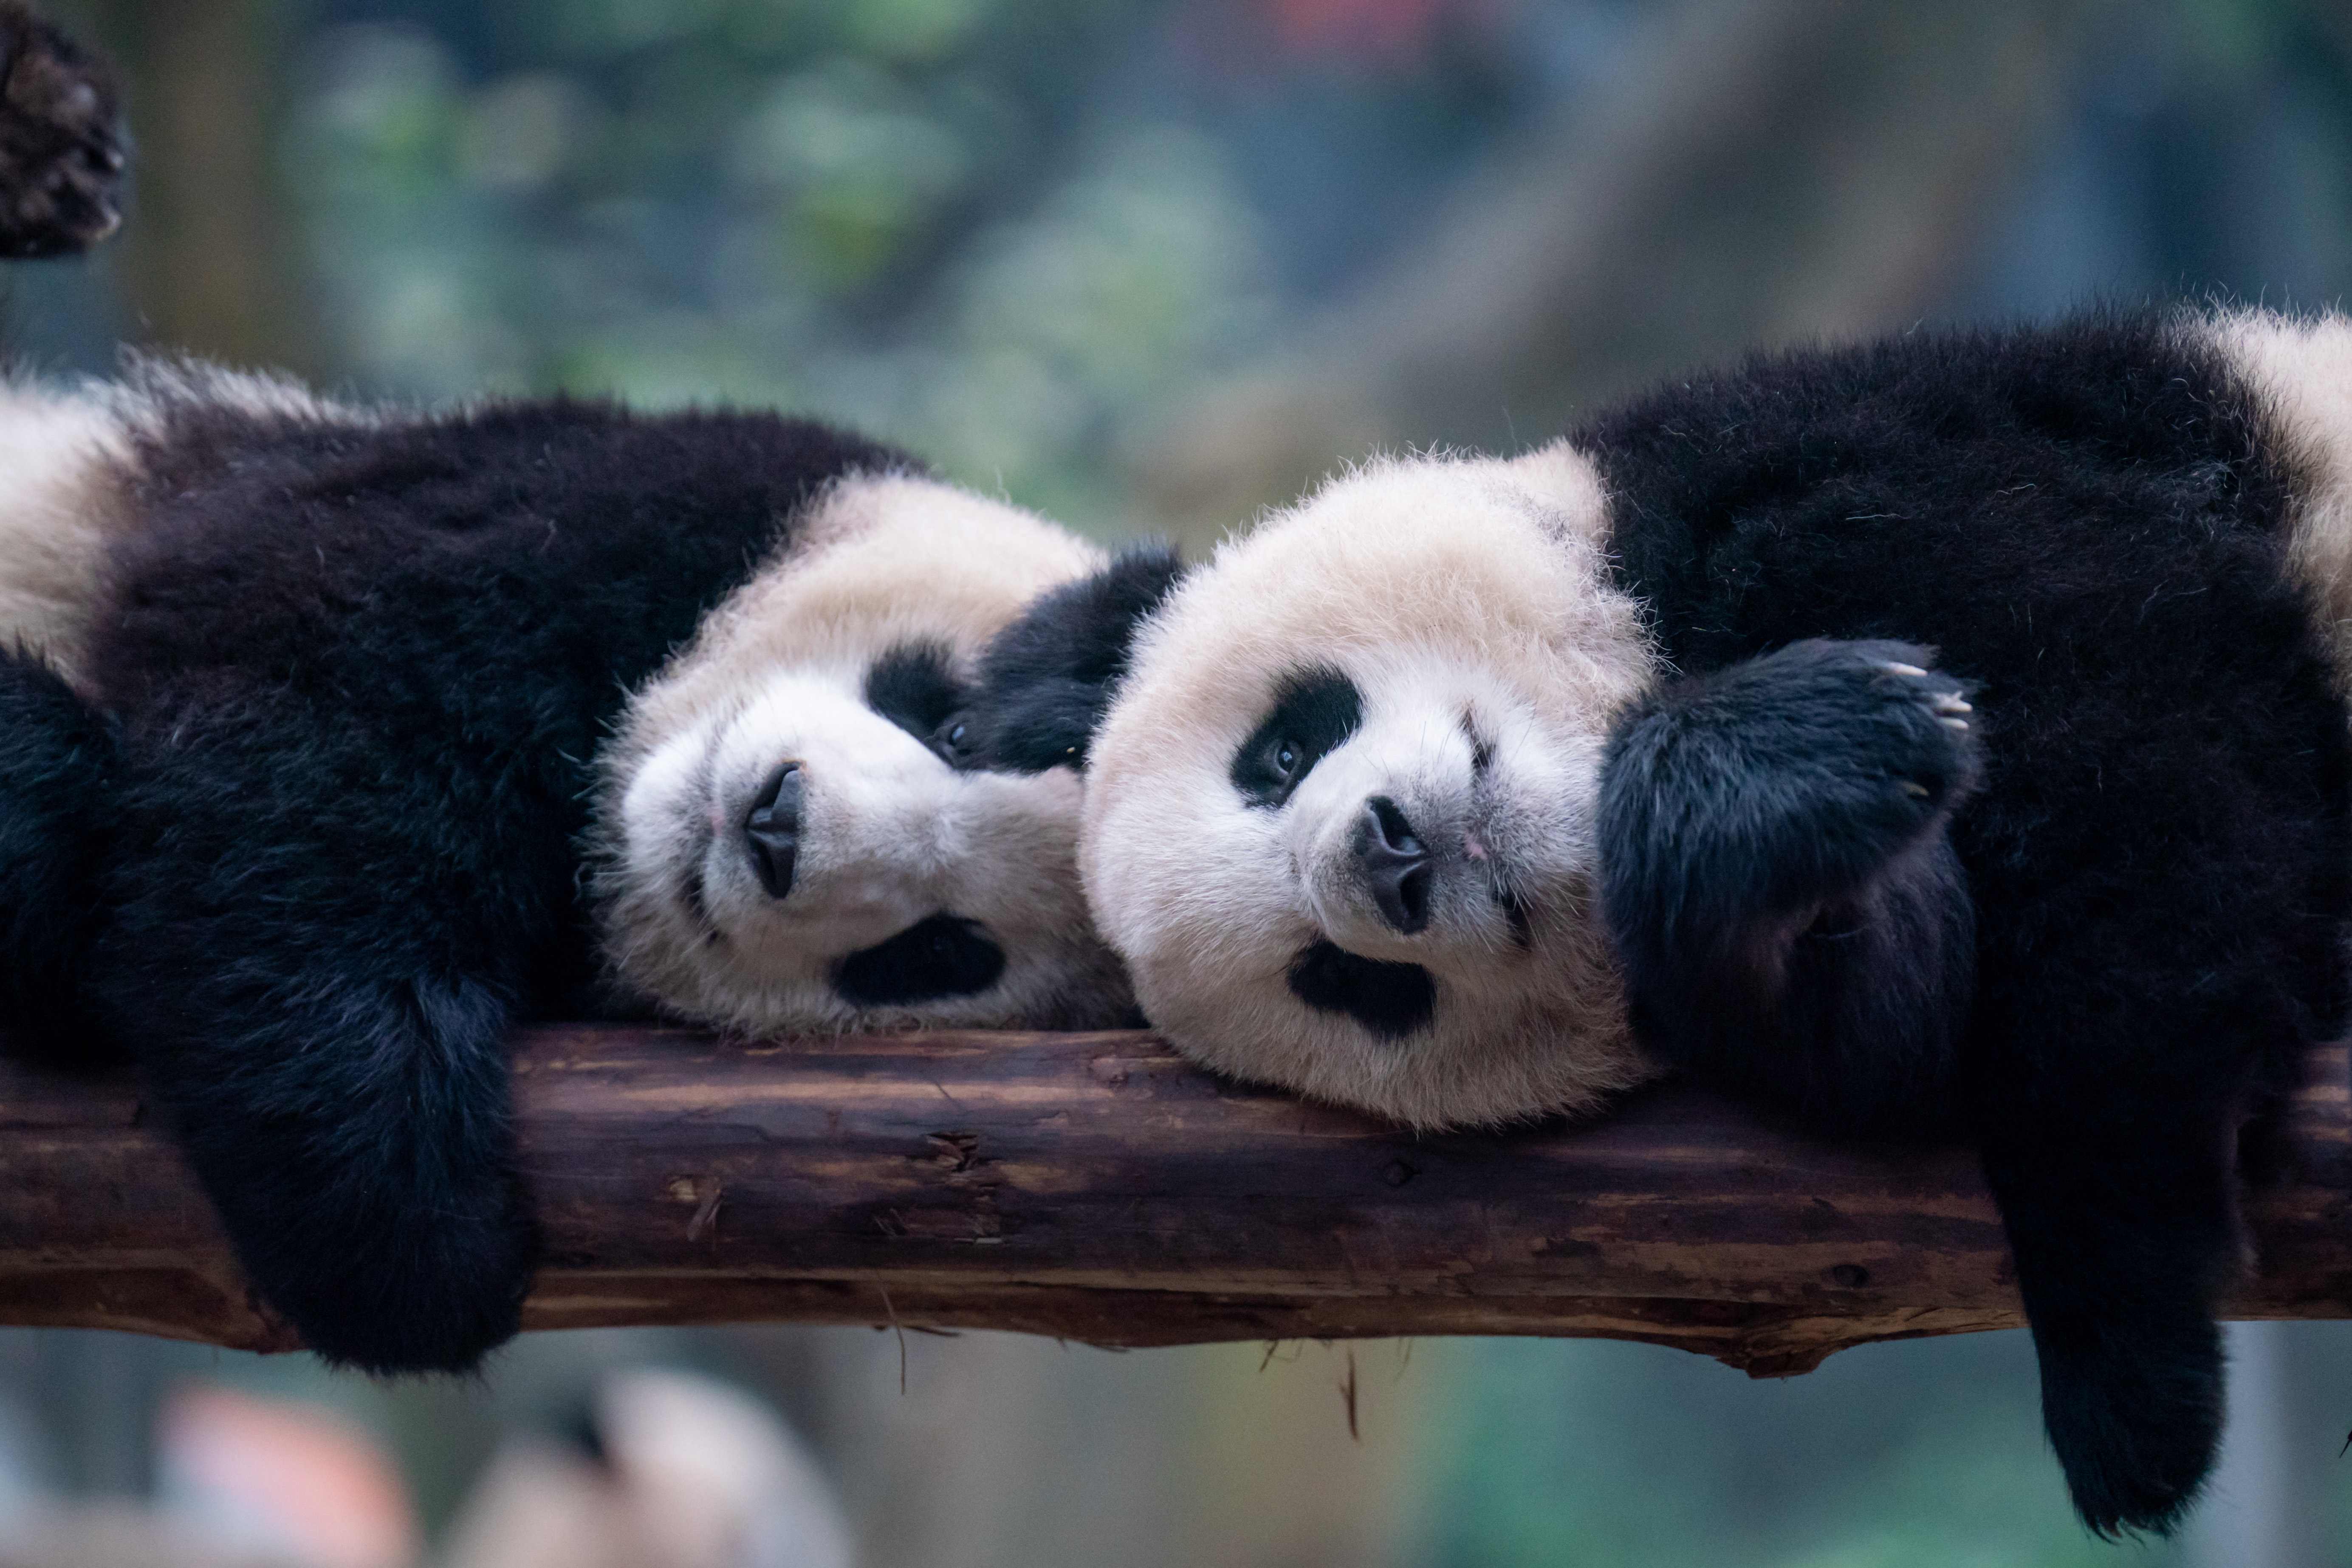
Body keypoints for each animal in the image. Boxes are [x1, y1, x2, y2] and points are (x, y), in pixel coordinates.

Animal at [0, 354, 1132, 1380]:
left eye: (940, 953)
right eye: (955, 727)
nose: (777, 829)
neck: (605, 830)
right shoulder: (540, 512)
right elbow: (296, 756)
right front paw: (415, 1225)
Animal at [971, 306, 2352, 1537]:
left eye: (1278, 752)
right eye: (1348, 983)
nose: (1388, 861)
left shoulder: (1878, 466)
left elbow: (2130, 734)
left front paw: (2129, 1367)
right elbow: (1905, 1019)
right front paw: (1774, 780)